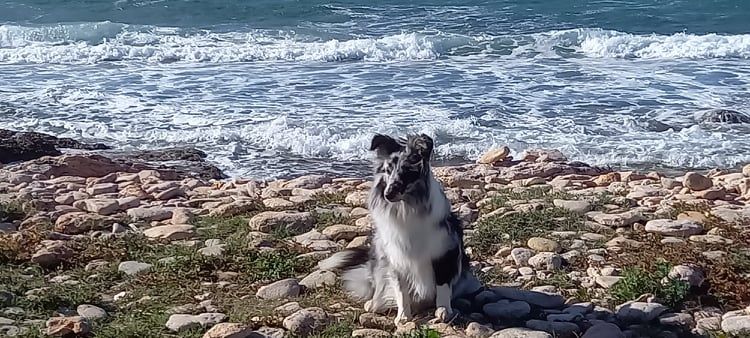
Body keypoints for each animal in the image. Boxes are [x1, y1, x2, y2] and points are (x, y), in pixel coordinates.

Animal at [318, 133, 482, 326]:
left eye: (407, 171)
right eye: (387, 170)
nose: (388, 194)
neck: (407, 208)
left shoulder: (444, 252)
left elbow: (442, 285)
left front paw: (443, 311)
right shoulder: (396, 258)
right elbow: (401, 290)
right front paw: (403, 317)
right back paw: (375, 303)